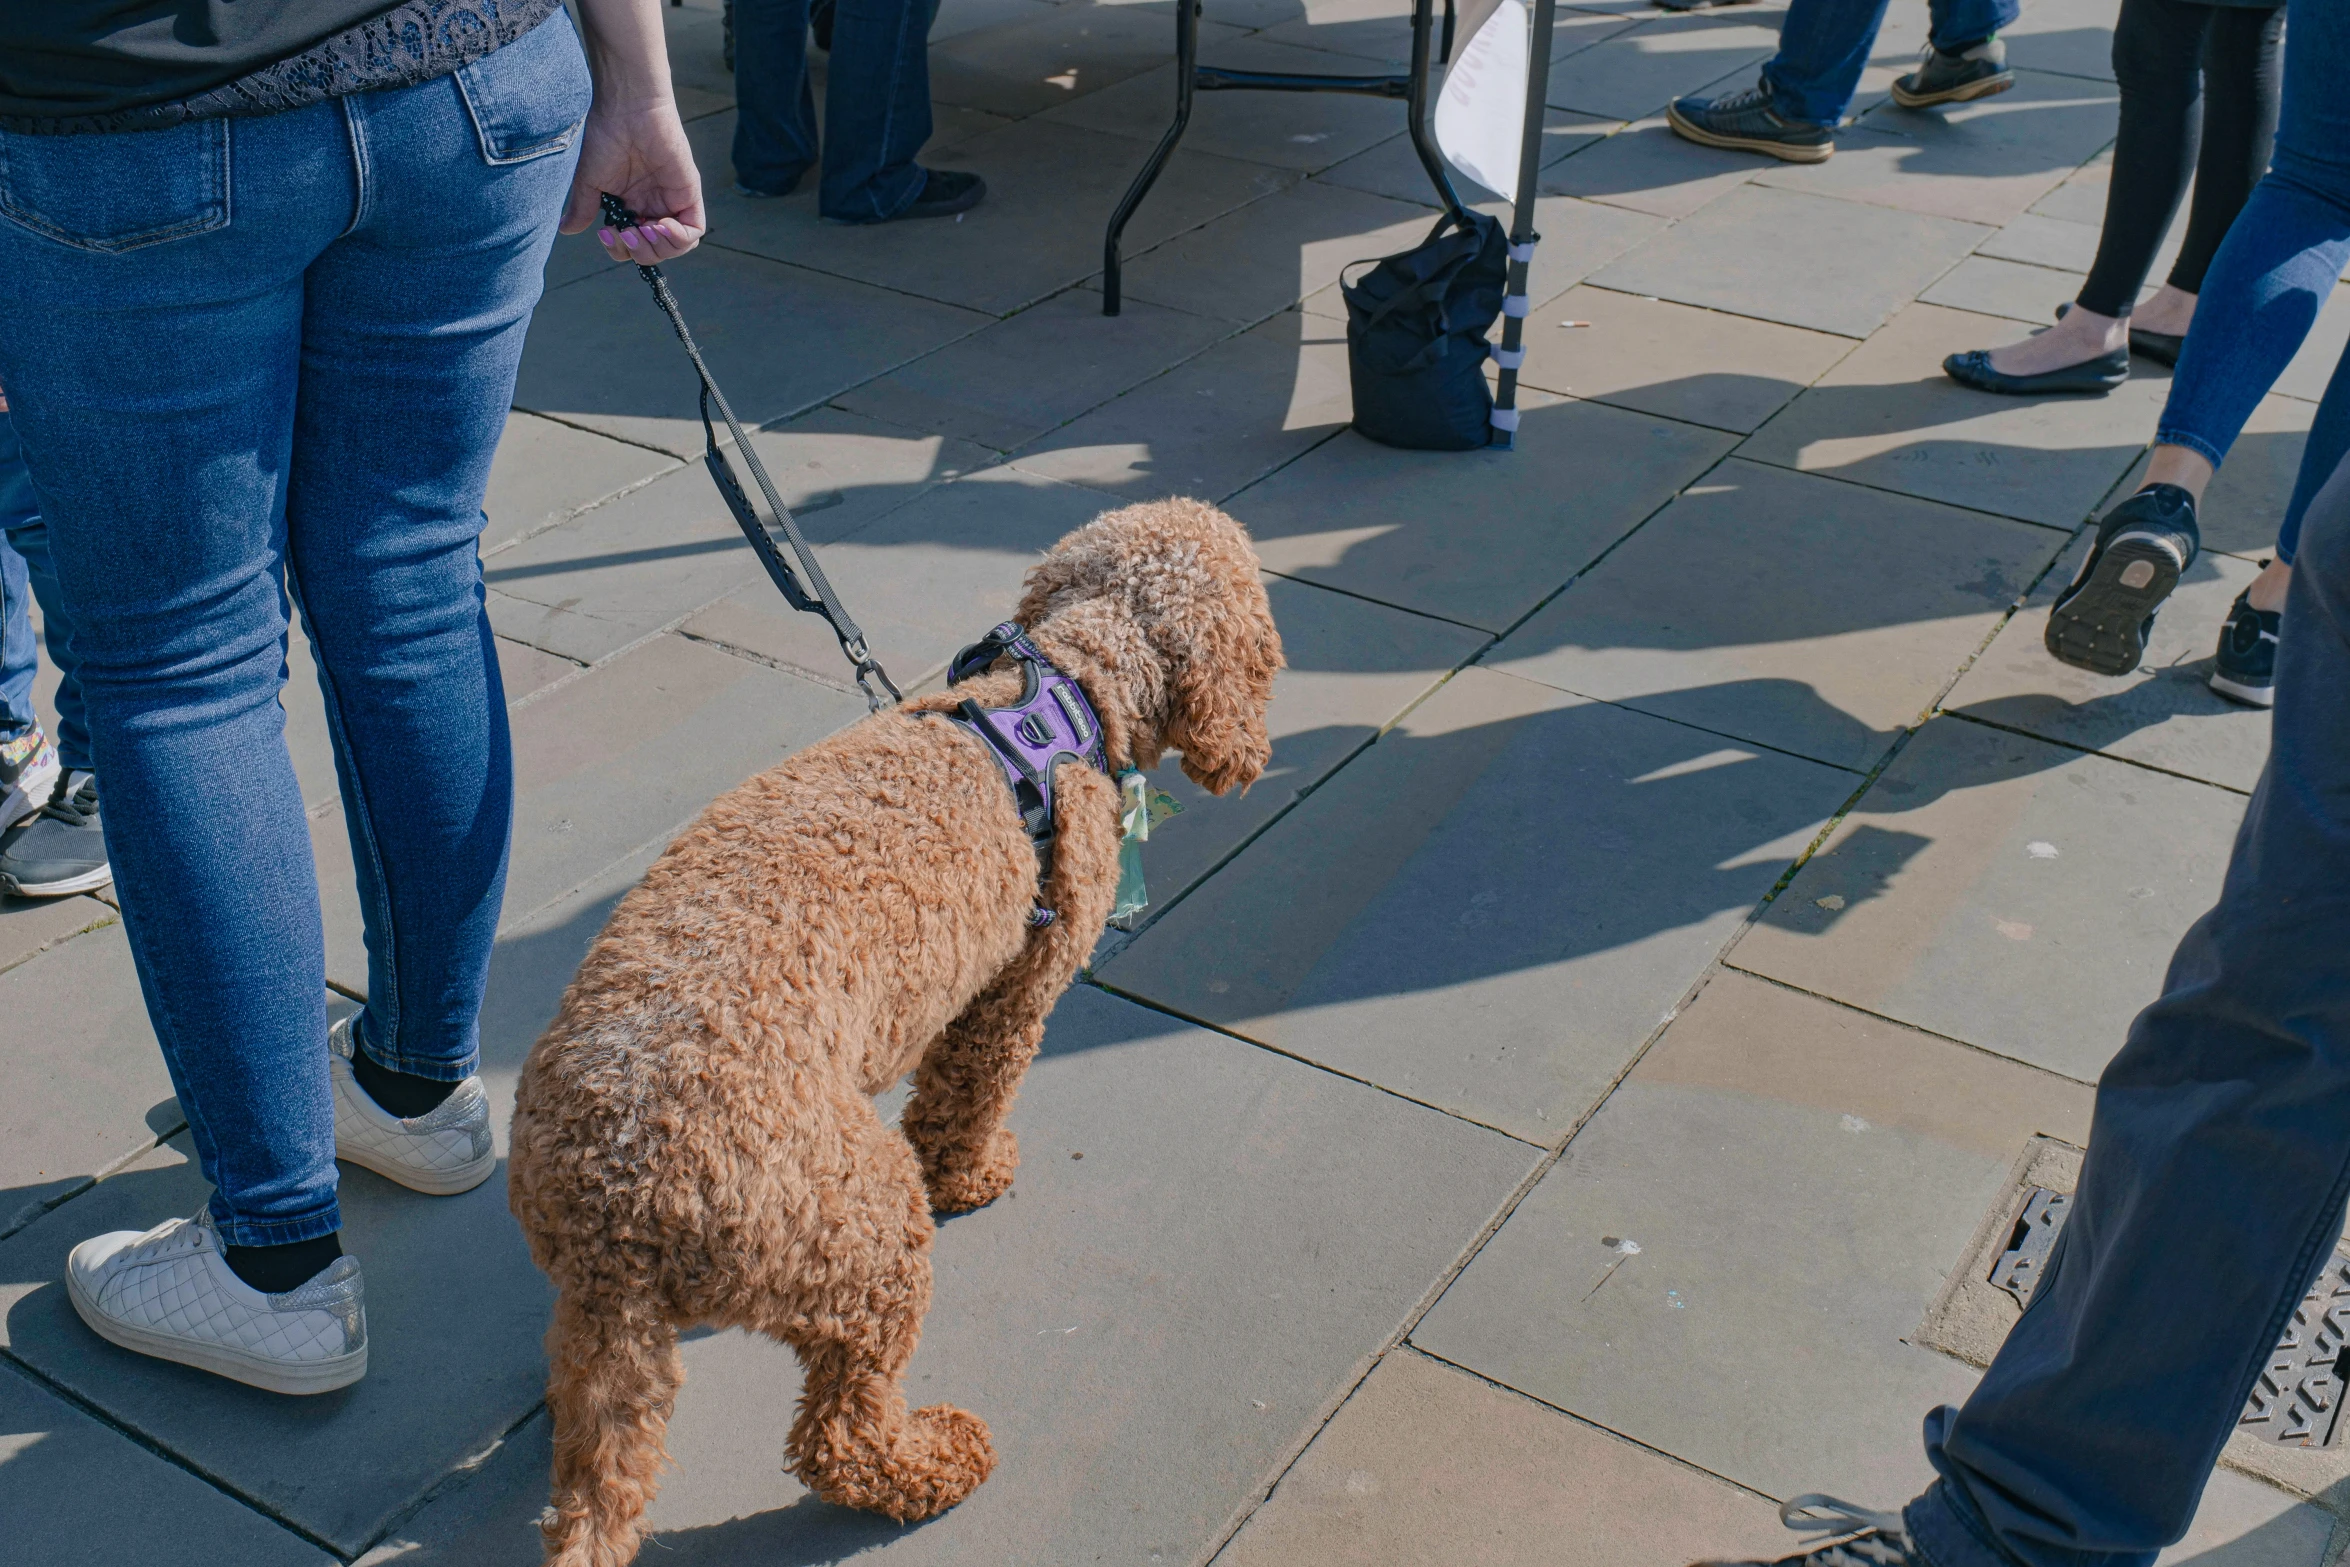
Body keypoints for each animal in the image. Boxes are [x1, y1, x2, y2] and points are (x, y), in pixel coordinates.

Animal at [509, 495, 1287, 1559]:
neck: (1060, 695)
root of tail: (615, 1214)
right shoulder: (1016, 983)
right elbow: (970, 1090)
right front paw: (970, 1171)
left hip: (607, 1317)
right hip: (867, 1234)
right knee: (841, 1432)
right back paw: (932, 1460)